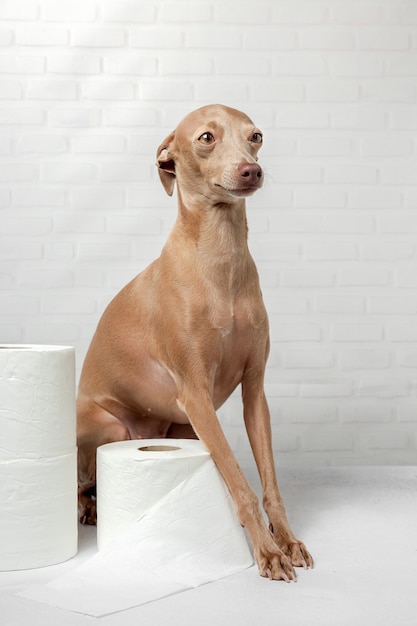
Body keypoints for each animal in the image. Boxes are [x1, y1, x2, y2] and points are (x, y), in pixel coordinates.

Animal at [77, 103, 312, 580]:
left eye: (256, 135)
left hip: (184, 429)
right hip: (115, 427)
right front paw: (267, 551)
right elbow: (240, 483)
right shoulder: (196, 395)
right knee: (82, 483)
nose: (251, 171)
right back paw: (89, 509)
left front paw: (287, 540)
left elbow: (269, 484)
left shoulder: (254, 392)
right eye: (206, 138)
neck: (220, 258)